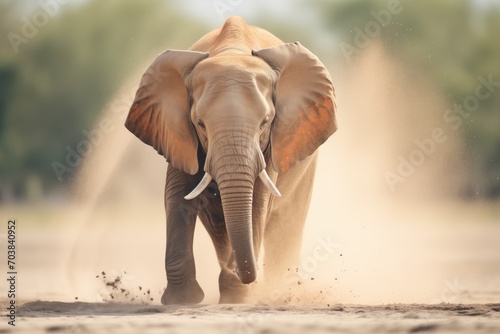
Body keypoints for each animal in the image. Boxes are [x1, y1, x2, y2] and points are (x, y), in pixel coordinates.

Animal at [124, 16, 336, 306]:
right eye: (200, 123)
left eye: (265, 122)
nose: (246, 274)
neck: (232, 52)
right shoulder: (177, 135)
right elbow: (177, 197)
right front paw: (182, 300)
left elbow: (258, 203)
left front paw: (238, 297)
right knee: (219, 227)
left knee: (286, 224)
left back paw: (278, 292)